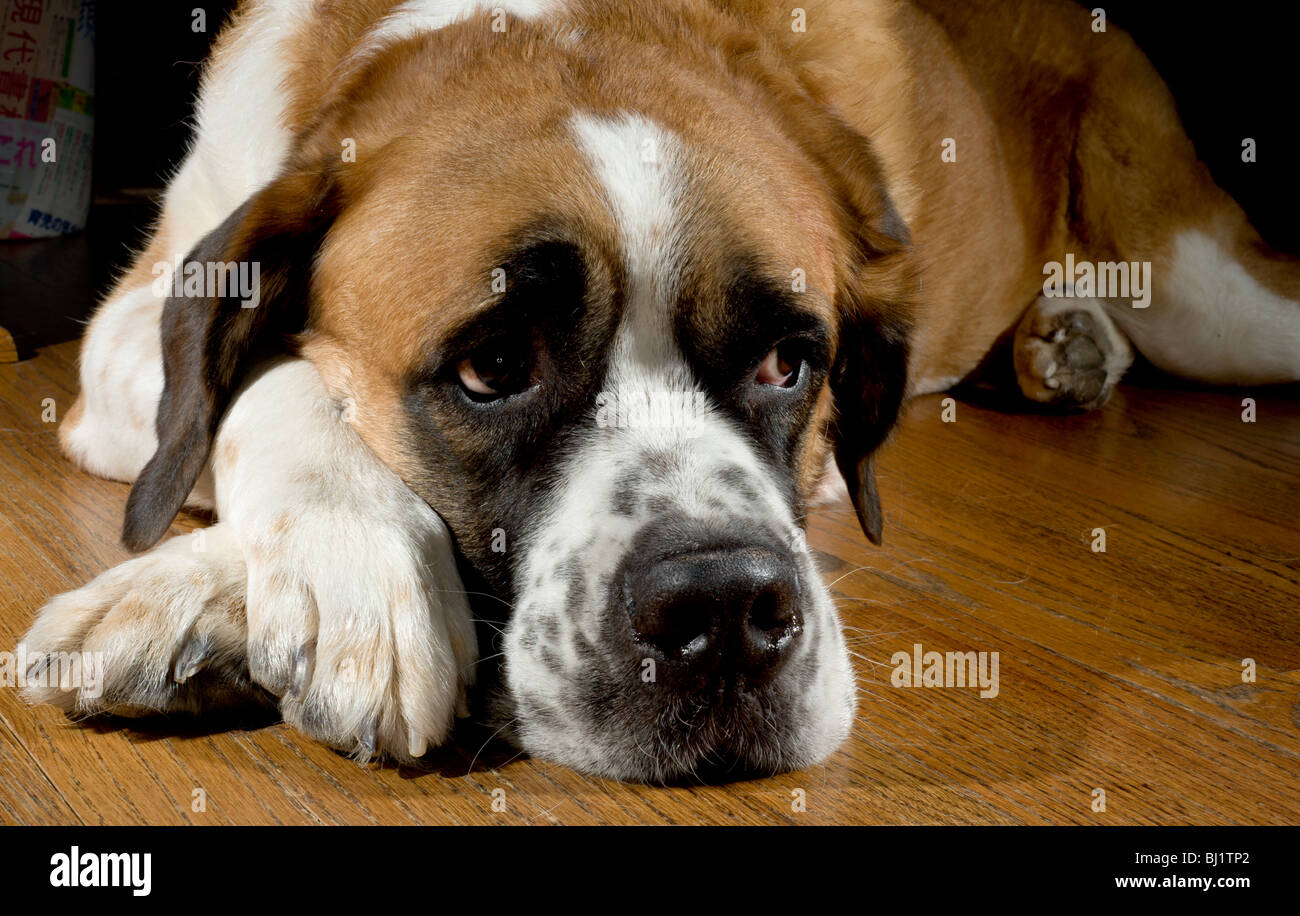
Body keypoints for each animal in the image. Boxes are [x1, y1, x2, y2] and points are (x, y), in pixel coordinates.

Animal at [20, 0, 1300, 784]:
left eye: (789, 362)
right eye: (494, 368)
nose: (726, 610)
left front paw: (233, 598)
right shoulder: (125, 330)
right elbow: (261, 385)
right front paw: (330, 570)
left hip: (1209, 297)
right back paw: (1059, 344)